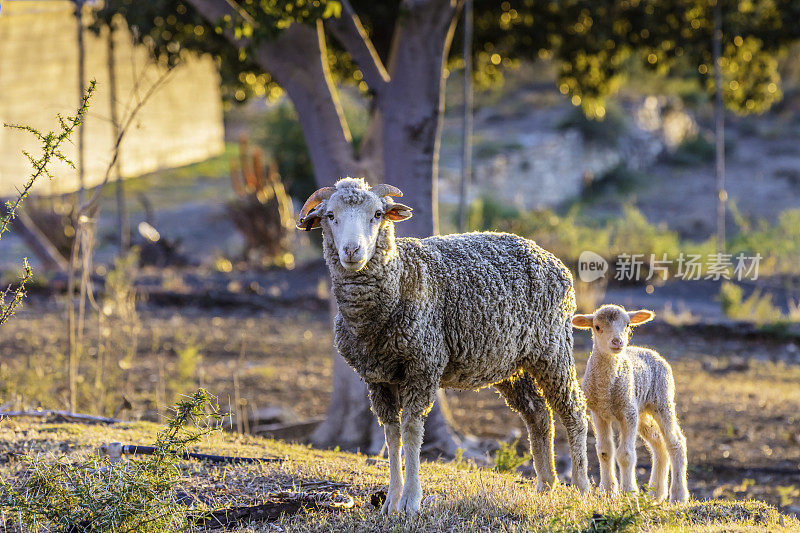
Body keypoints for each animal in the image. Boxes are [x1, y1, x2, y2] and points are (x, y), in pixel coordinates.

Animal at [296, 178, 592, 512]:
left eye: (377, 214)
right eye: (330, 215)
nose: (351, 250)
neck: (399, 280)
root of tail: (552, 258)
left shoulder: (423, 364)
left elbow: (412, 430)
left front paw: (411, 500)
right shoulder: (377, 377)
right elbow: (392, 434)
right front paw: (391, 501)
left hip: (553, 348)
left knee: (574, 411)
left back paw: (581, 488)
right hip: (512, 363)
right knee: (538, 414)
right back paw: (545, 486)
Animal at [572, 304, 692, 502]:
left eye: (627, 325)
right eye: (597, 326)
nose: (617, 341)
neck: (607, 391)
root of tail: (652, 352)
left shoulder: (627, 413)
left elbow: (626, 455)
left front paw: (629, 492)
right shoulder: (598, 413)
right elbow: (605, 452)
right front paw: (608, 491)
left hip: (662, 401)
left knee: (676, 443)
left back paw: (678, 495)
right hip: (641, 411)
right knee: (659, 444)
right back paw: (655, 494)